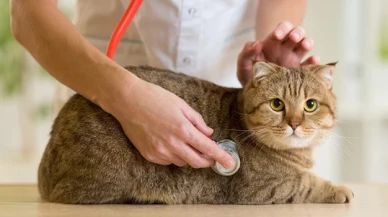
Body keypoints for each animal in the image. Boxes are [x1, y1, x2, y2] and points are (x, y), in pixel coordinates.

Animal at [37, 62, 354, 204]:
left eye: (310, 105)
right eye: (278, 104)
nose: (295, 123)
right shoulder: (263, 188)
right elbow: (308, 184)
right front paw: (340, 189)